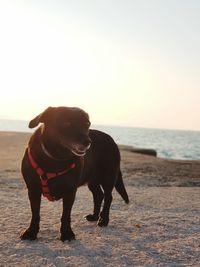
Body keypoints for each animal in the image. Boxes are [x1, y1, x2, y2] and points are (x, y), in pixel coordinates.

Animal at [20, 107, 129, 243]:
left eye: (87, 124)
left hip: (108, 176)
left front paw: (66, 233)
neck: (55, 159)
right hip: (92, 180)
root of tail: (112, 140)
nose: (88, 142)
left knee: (108, 197)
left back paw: (103, 219)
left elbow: (66, 215)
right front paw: (31, 232)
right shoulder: (33, 189)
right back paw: (94, 216)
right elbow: (35, 213)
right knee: (98, 195)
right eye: (67, 124)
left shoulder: (70, 191)